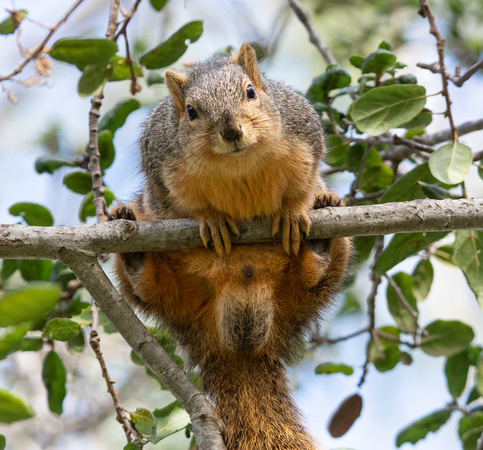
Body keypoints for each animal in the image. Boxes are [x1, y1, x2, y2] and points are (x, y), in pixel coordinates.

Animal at [108, 41, 352, 446]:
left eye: (251, 92)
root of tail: (240, 349)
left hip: (318, 280)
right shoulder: (161, 177)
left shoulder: (305, 139)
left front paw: (292, 211)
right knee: (153, 289)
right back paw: (136, 255)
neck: (237, 167)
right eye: (191, 111)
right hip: (177, 295)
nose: (231, 130)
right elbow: (181, 206)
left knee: (312, 280)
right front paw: (212, 219)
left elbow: (303, 186)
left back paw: (322, 240)